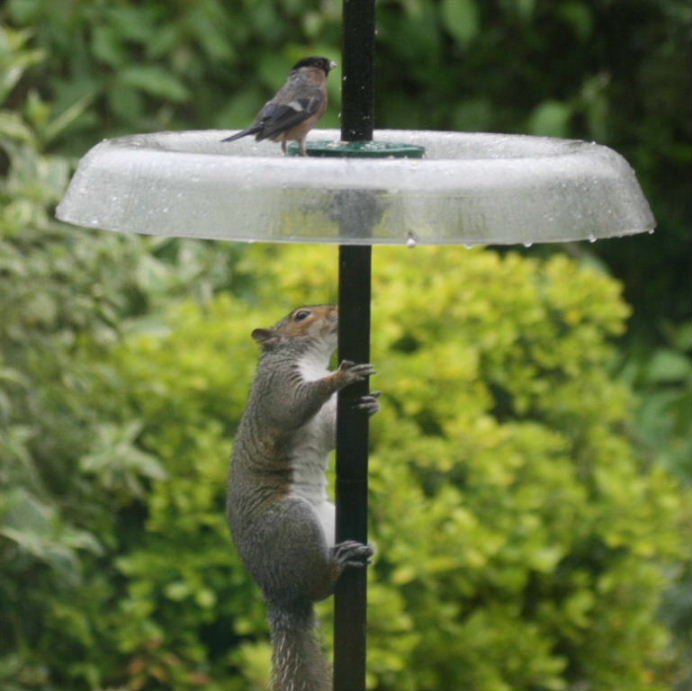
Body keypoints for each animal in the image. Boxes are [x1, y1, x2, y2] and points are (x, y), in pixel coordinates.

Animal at [227, 304, 379, 691]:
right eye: (301, 315)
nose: (335, 310)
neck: (312, 362)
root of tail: (277, 592)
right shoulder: (276, 388)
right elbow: (293, 406)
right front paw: (341, 377)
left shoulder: (320, 422)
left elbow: (329, 433)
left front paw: (369, 404)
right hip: (293, 525)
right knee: (317, 588)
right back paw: (336, 567)